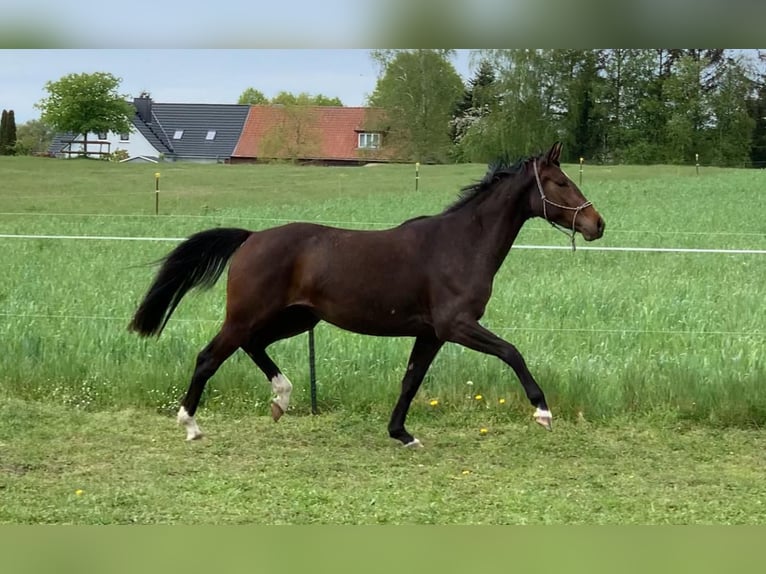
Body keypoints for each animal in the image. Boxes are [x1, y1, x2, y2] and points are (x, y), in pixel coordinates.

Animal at [129, 142, 608, 448]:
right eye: (560, 182)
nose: (597, 225)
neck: (460, 244)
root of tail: (251, 238)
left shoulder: (431, 333)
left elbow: (411, 381)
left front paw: (403, 434)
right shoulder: (457, 324)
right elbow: (512, 353)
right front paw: (542, 412)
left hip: (297, 318)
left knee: (253, 345)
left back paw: (281, 399)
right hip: (250, 314)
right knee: (209, 357)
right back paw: (191, 425)